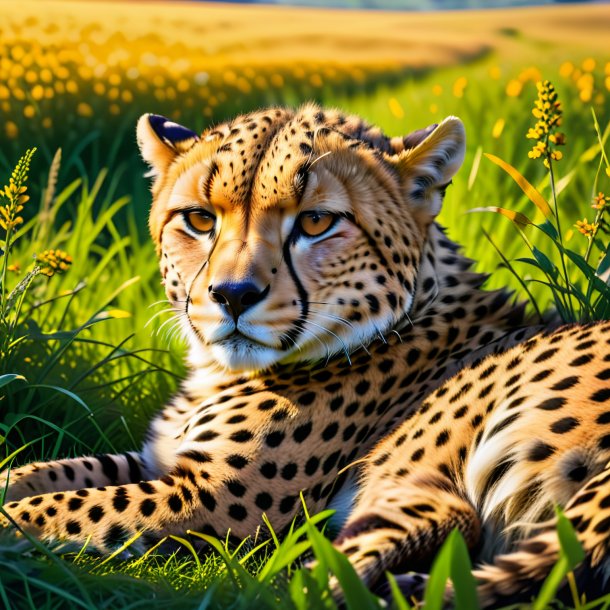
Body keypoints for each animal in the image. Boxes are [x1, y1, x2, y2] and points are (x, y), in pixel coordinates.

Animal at [2, 104, 604, 604]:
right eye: (200, 219)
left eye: (316, 221)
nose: (233, 295)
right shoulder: (163, 461)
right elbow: (46, 472)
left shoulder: (212, 498)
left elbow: (65, 506)